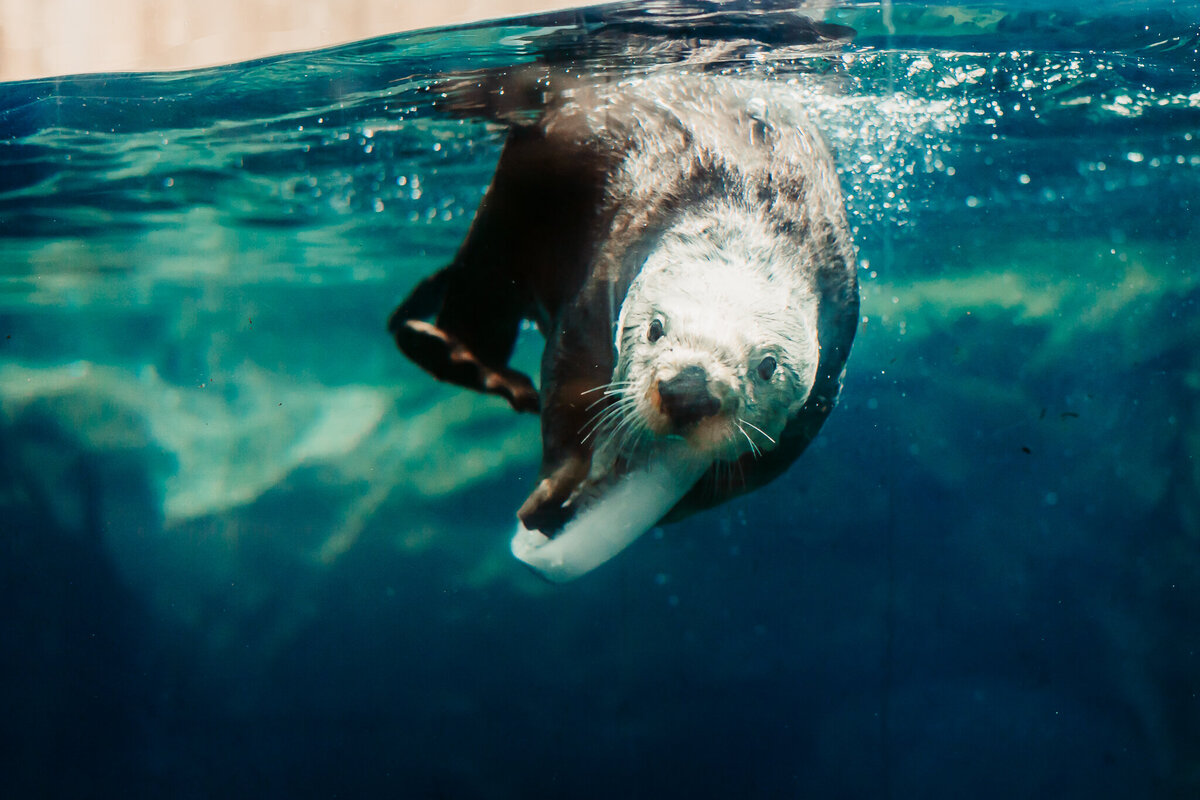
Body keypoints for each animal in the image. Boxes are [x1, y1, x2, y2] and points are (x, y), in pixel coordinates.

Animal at [390, 72, 859, 579]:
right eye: (655, 328)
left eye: (768, 365)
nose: (688, 391)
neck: (746, 200)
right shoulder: (598, 294)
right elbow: (566, 391)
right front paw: (554, 490)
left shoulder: (829, 372)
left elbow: (766, 463)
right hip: (511, 202)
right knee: (480, 290)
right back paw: (479, 366)